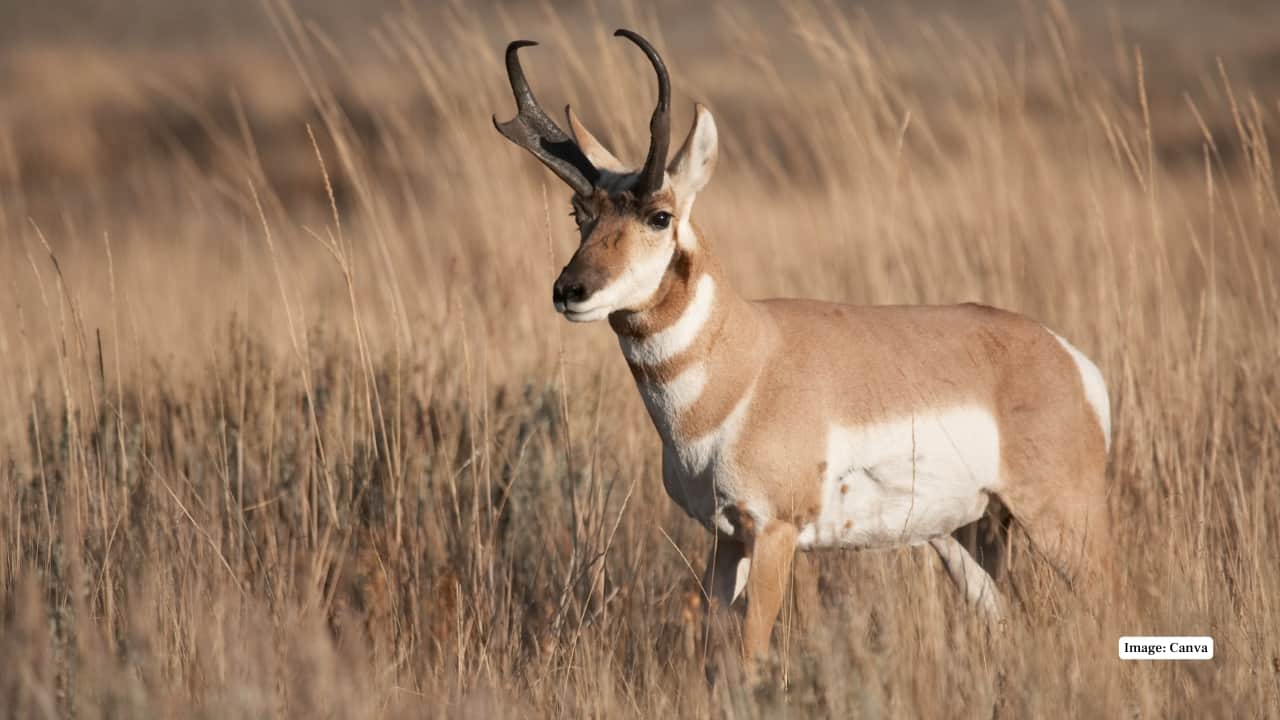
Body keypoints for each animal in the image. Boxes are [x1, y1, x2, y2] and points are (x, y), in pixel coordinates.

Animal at [494, 30, 1112, 672]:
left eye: (659, 216)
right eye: (580, 215)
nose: (570, 291)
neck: (745, 361)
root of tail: (1066, 356)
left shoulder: (775, 532)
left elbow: (749, 651)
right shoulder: (725, 538)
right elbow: (715, 648)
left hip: (1065, 521)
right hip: (965, 534)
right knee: (999, 616)